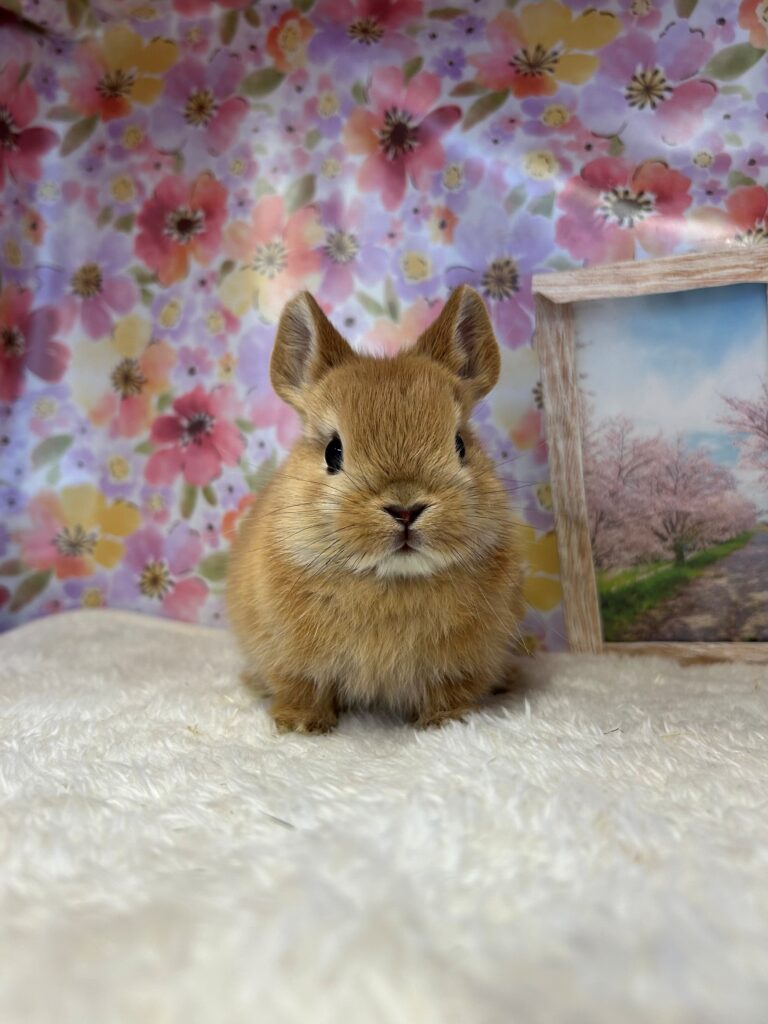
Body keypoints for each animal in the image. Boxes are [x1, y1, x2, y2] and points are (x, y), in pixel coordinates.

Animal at [226, 285, 525, 733]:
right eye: (333, 452)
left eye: (460, 445)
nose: (405, 509)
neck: (389, 580)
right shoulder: (293, 663)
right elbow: (302, 687)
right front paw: (300, 725)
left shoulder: (459, 667)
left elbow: (449, 693)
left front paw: (445, 723)